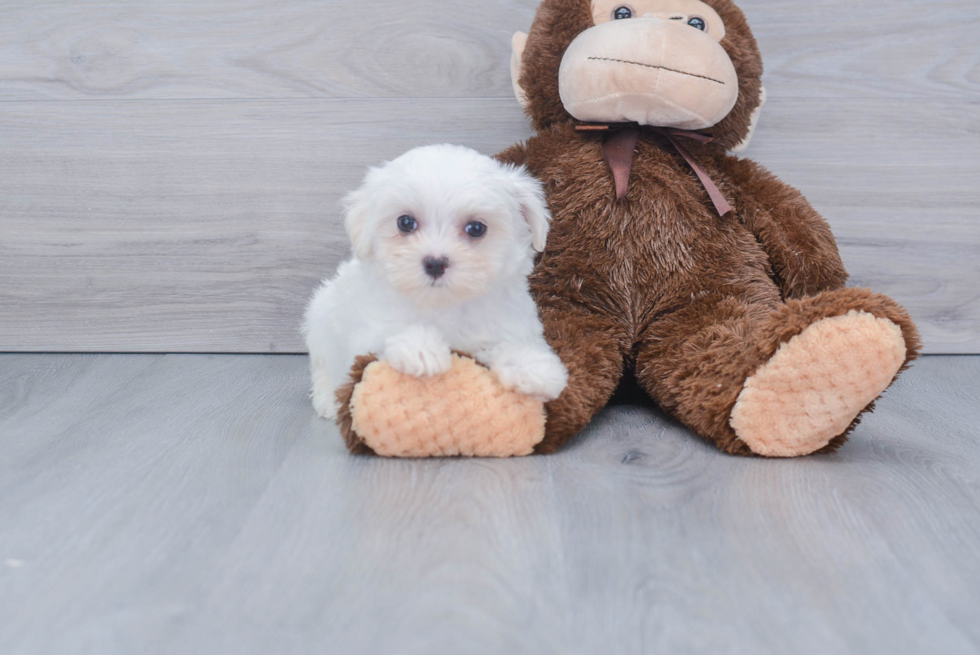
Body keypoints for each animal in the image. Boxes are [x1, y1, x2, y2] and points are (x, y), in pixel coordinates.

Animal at [304, 144, 568, 420]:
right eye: (405, 222)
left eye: (476, 228)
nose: (435, 263)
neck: (444, 304)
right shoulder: (367, 332)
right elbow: (387, 333)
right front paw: (420, 348)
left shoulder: (508, 323)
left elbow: (508, 343)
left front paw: (533, 367)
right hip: (319, 320)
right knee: (323, 367)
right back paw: (328, 398)